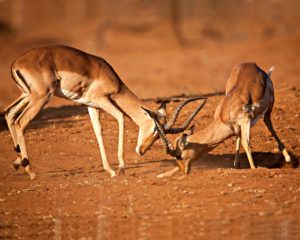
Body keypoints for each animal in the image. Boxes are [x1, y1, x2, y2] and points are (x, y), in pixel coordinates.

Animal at [4, 46, 205, 179]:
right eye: (156, 130)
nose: (141, 151)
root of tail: (15, 64)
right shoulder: (102, 99)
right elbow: (121, 118)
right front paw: (121, 168)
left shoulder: (91, 105)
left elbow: (98, 132)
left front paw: (110, 170)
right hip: (41, 97)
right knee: (20, 122)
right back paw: (31, 172)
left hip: (28, 95)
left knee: (9, 113)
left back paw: (18, 162)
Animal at [146, 62, 292, 177]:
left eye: (179, 156)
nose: (184, 172)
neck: (223, 116)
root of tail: (253, 65)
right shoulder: (237, 126)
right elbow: (239, 138)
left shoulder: (245, 120)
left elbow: (246, 142)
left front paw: (254, 168)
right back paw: (236, 165)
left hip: (269, 105)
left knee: (268, 123)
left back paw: (289, 159)